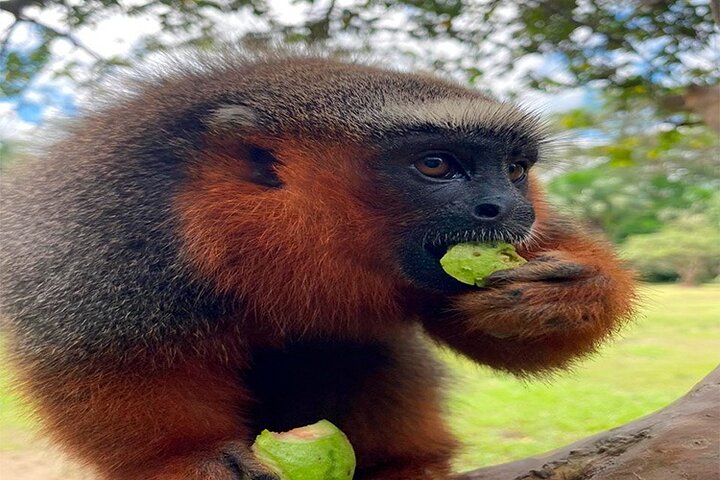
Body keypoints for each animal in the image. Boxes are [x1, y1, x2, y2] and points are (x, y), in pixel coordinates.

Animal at [0, 53, 636, 480]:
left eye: (514, 170)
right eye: (436, 165)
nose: (507, 208)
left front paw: (574, 293)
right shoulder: (112, 233)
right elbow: (102, 357)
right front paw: (184, 457)